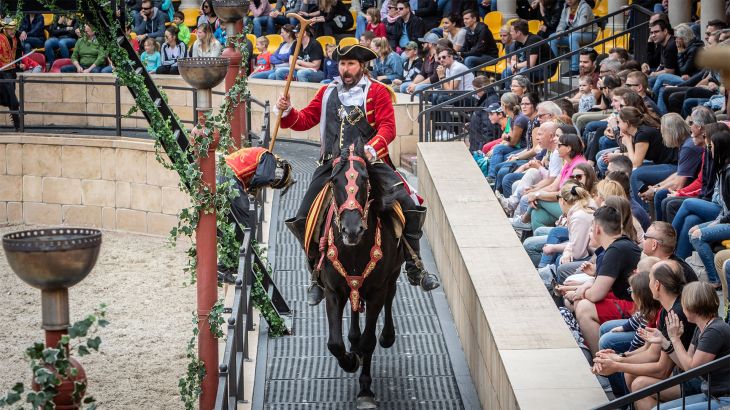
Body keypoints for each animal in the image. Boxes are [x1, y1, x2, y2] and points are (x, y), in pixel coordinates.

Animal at [320, 143, 404, 408]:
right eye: (334, 180)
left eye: (365, 180)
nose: (352, 230)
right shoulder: (333, 291)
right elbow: (334, 343)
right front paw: (349, 360)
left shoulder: (377, 290)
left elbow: (370, 341)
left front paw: (365, 390)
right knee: (356, 307)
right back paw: (353, 341)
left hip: (392, 274)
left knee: (390, 296)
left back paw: (387, 336)